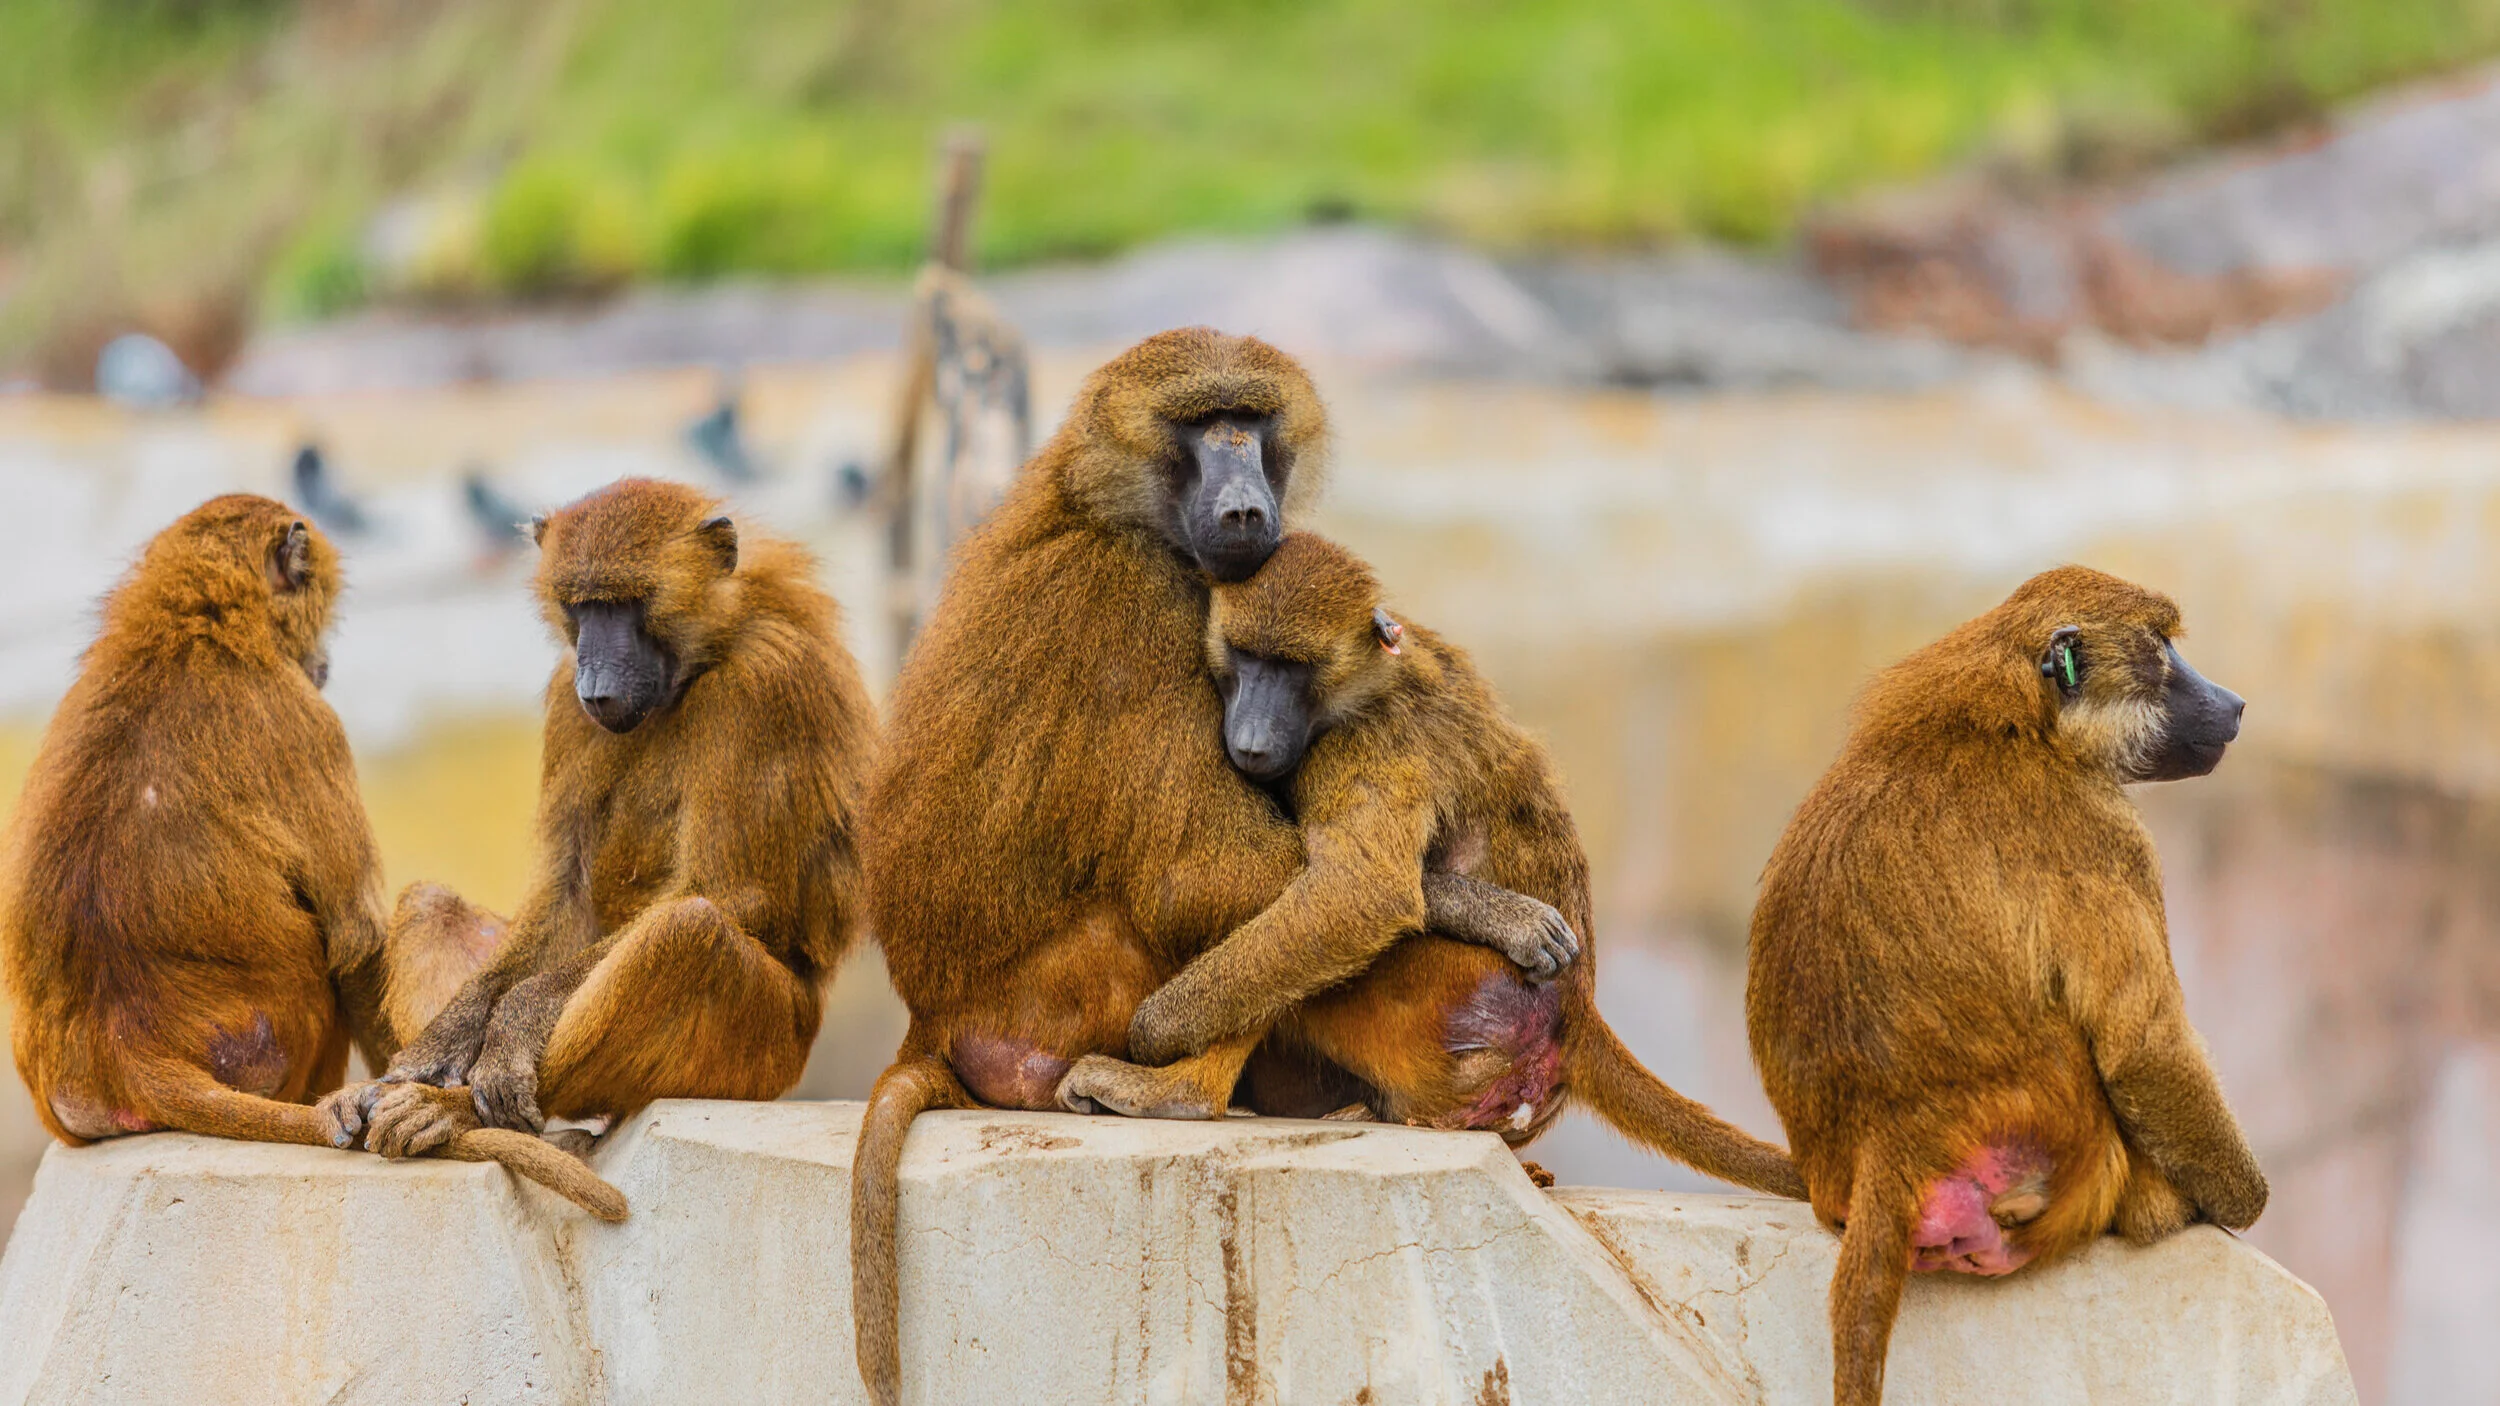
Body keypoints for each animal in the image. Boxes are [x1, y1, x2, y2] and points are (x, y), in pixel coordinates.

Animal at [0, 495, 621, 1219]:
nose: (323, 661)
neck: (189, 631)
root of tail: (124, 1053)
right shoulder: (308, 721)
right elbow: (356, 938)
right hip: (272, 1041)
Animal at [315, 477, 876, 1176]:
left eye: (628, 605)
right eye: (581, 608)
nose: (596, 684)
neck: (702, 662)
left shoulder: (766, 685)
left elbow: (728, 892)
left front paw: (513, 1022)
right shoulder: (565, 699)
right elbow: (565, 893)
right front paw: (445, 1038)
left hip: (765, 1055)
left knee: (689, 932)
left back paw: (451, 1109)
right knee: (431, 902)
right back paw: (394, 1092)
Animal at [1053, 533, 1806, 1204]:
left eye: (1291, 670)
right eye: (1245, 659)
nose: (1252, 736)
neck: (1365, 684)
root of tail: (1579, 1012)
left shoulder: (1358, 746)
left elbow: (1359, 895)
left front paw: (1154, 1030)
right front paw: (1507, 916)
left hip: (1449, 1003)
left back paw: (1178, 1091)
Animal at [1744, 565, 2268, 1406]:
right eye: (2162, 650)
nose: (2234, 702)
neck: (2017, 726)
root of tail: (1889, 1142)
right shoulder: (2104, 834)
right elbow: (2143, 1049)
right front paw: (2243, 1204)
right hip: (2067, 1153)